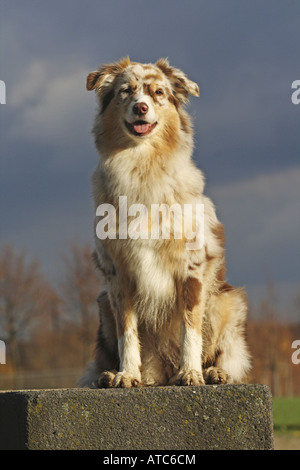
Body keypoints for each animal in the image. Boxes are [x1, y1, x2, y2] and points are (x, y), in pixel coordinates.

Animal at [78, 57, 252, 390]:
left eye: (157, 92)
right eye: (126, 91)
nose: (141, 107)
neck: (142, 166)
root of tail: (162, 373)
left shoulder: (191, 269)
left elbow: (190, 328)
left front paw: (192, 372)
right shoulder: (117, 274)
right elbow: (127, 332)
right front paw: (127, 374)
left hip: (227, 300)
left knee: (227, 353)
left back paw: (214, 372)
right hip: (103, 304)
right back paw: (111, 375)